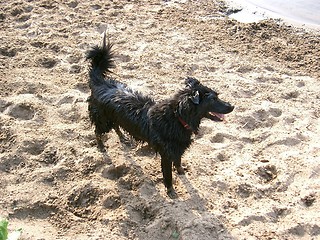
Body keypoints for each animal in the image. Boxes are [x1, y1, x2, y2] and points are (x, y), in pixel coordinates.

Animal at [86, 34, 234, 198]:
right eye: (213, 99)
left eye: (217, 96)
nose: (232, 106)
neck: (177, 118)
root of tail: (99, 82)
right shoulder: (166, 154)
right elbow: (168, 175)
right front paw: (171, 191)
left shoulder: (177, 148)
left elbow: (178, 162)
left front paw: (181, 172)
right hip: (102, 119)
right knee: (98, 131)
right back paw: (101, 146)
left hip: (113, 116)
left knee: (117, 125)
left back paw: (123, 138)